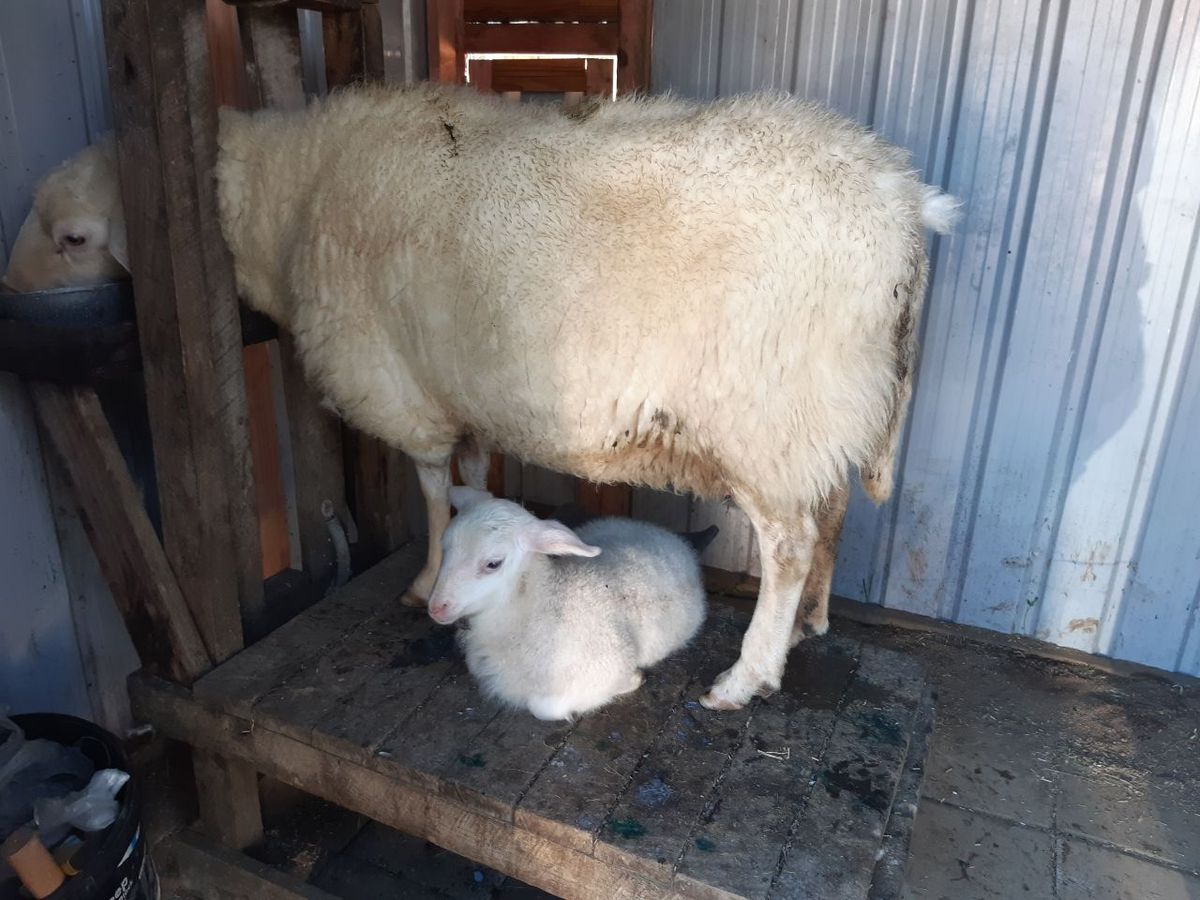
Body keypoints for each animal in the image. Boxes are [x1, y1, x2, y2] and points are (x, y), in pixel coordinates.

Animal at [432, 489, 710, 724]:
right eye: (443, 546)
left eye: (493, 564)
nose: (436, 607)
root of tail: (667, 535)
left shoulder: (604, 668)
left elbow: (544, 708)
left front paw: (633, 679)